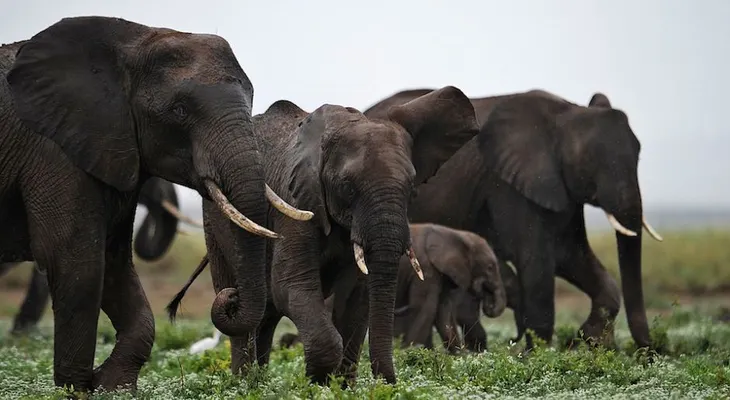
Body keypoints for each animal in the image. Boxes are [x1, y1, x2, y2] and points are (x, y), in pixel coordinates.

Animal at [167, 86, 480, 385]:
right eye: (347, 187)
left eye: (412, 190)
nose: (390, 382)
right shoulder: (294, 200)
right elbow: (291, 286)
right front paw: (317, 384)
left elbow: (357, 299)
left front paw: (341, 388)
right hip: (215, 222)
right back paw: (244, 384)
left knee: (266, 315)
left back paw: (259, 382)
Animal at [391, 223, 506, 354]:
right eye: (490, 267)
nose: (487, 301)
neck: (455, 233)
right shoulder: (426, 268)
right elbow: (426, 308)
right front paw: (411, 351)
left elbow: (444, 312)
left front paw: (460, 355)